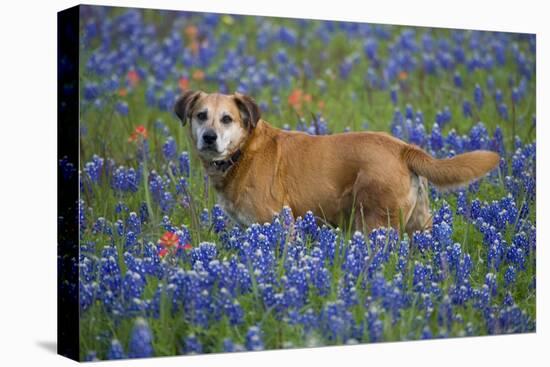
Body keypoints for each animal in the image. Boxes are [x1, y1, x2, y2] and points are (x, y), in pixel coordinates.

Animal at [175, 91, 502, 234]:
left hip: (374, 223)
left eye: (227, 118)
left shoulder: (276, 222)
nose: (209, 137)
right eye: (201, 115)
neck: (242, 152)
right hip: (419, 227)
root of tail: (402, 148)